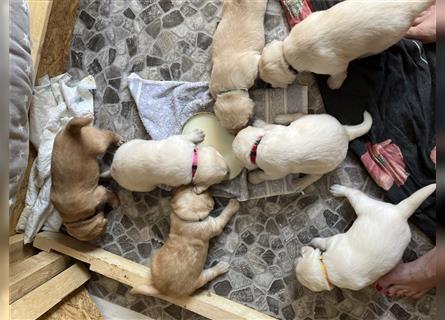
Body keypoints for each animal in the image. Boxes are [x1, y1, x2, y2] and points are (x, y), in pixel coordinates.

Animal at [232, 111, 372, 184]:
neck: (257, 145)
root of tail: (346, 132)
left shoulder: (274, 172)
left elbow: (263, 176)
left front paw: (253, 178)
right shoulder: (274, 130)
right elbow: (267, 126)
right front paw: (258, 123)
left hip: (323, 167)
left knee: (316, 176)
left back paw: (301, 183)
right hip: (313, 118)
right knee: (301, 114)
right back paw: (282, 118)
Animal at [258, 0, 432, 89]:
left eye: (270, 82)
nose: (267, 86)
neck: (286, 54)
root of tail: (410, 6)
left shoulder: (335, 66)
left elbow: (339, 75)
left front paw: (333, 84)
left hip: (386, 39)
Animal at [294, 184, 436, 292]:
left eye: (300, 258)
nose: (296, 257)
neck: (327, 270)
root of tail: (400, 211)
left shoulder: (334, 241)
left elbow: (323, 242)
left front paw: (314, 241)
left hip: (365, 206)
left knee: (354, 193)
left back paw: (339, 190)